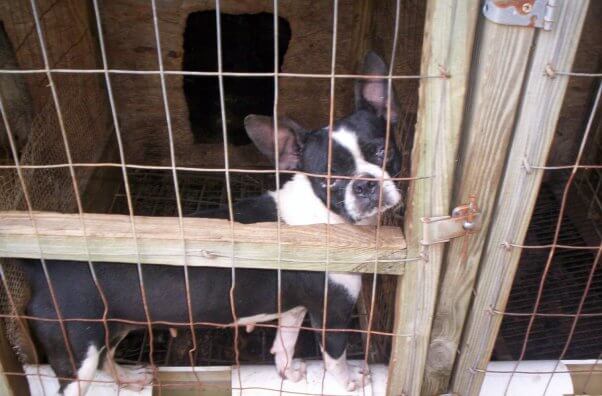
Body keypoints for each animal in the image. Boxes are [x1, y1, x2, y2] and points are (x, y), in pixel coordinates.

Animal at [15, 51, 398, 392]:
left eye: (384, 151)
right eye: (329, 180)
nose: (365, 184)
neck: (323, 214)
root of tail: (39, 266)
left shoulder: (293, 305)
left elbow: (283, 344)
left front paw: (287, 373)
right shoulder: (333, 314)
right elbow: (335, 359)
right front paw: (350, 382)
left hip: (110, 326)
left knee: (108, 357)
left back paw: (129, 379)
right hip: (77, 348)